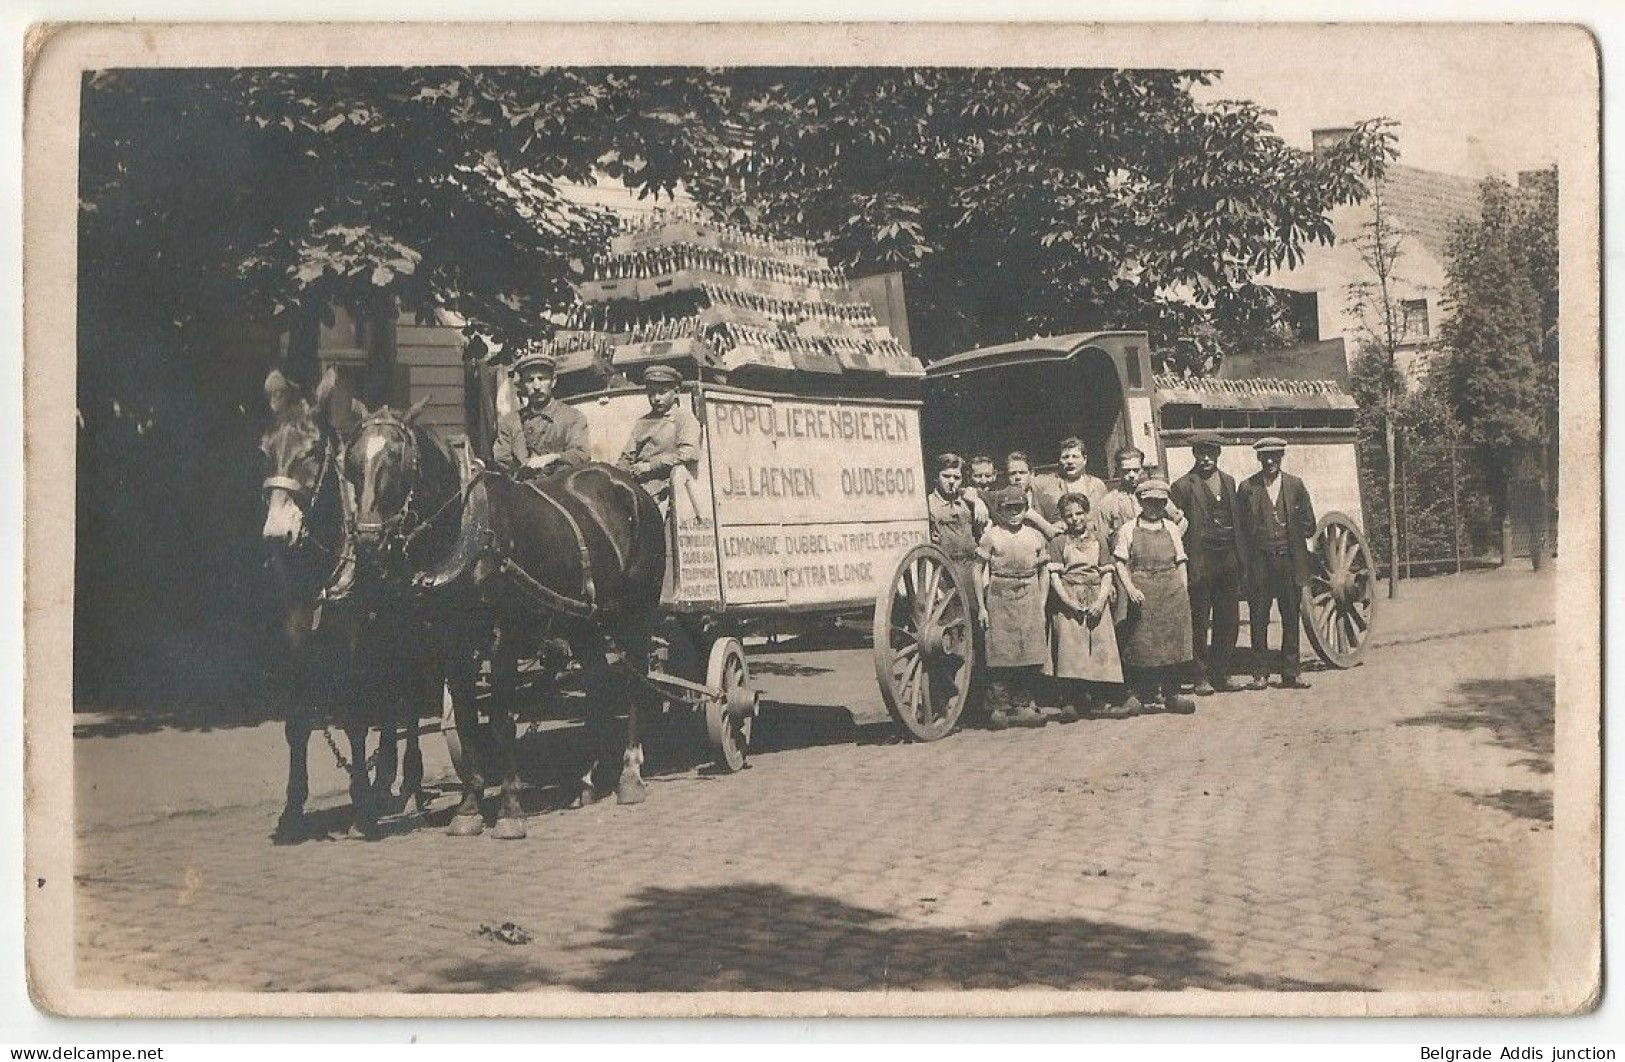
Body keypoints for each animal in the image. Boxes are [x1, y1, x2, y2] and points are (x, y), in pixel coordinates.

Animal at [260, 370, 425, 844]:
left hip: (408, 628)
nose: (277, 534)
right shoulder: (296, 634)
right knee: (389, 698)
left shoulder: (352, 634)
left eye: (313, 451)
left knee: (406, 696)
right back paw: (385, 779)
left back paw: (409, 780)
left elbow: (353, 715)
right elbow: (298, 721)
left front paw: (361, 811)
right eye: (264, 450)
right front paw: (292, 810)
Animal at [347, 412, 659, 844]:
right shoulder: (453, 646)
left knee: (634, 683)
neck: (465, 532)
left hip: (635, 614)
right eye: (351, 461)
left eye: (396, 457)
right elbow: (466, 721)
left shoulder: (503, 640)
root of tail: (630, 487)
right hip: (583, 624)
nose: (367, 540)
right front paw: (468, 808)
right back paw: (587, 779)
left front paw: (511, 811)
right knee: (598, 685)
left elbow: (501, 721)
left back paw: (630, 774)